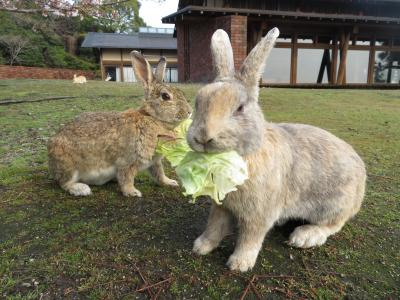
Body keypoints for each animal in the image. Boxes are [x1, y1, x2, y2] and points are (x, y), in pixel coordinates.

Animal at [49, 51, 193, 197]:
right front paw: (132, 192)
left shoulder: (154, 161)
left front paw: (170, 182)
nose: (189, 112)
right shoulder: (128, 160)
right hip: (68, 165)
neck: (152, 118)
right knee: (64, 182)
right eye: (165, 96)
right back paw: (81, 189)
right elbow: (126, 178)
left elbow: (159, 173)